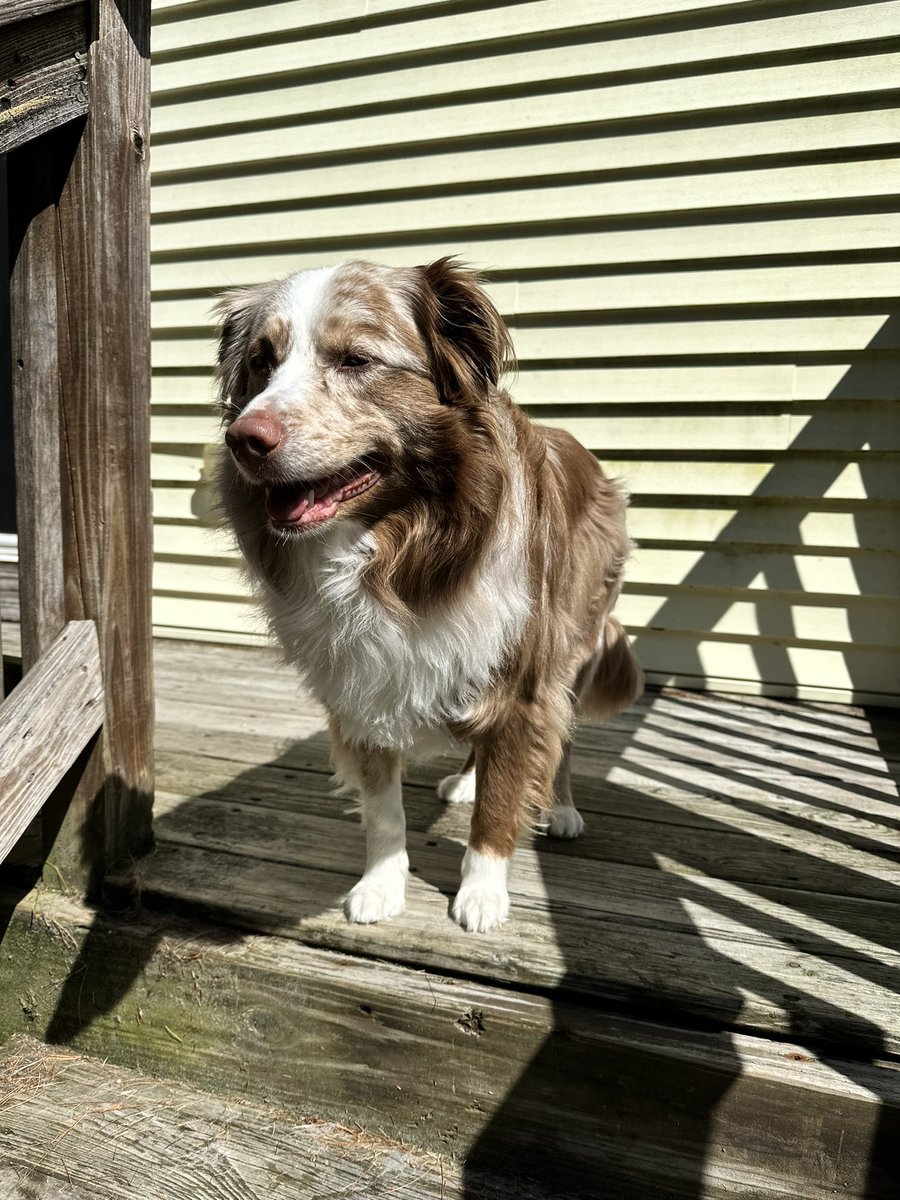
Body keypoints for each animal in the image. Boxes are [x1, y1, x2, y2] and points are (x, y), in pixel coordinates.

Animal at [214, 260, 643, 936]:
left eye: (356, 360)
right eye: (261, 361)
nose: (243, 439)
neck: (396, 550)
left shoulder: (523, 681)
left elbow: (499, 805)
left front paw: (482, 893)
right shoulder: (361, 683)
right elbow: (384, 810)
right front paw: (381, 885)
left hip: (571, 643)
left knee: (564, 737)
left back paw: (562, 808)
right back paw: (466, 781)